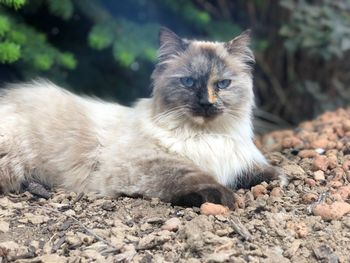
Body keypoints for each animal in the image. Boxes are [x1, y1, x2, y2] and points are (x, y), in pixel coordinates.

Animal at [0, 27, 282, 209]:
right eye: (189, 82)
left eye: (222, 84)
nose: (206, 103)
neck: (205, 136)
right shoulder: (144, 164)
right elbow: (191, 175)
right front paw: (222, 196)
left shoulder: (236, 160)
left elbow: (264, 172)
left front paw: (276, 177)